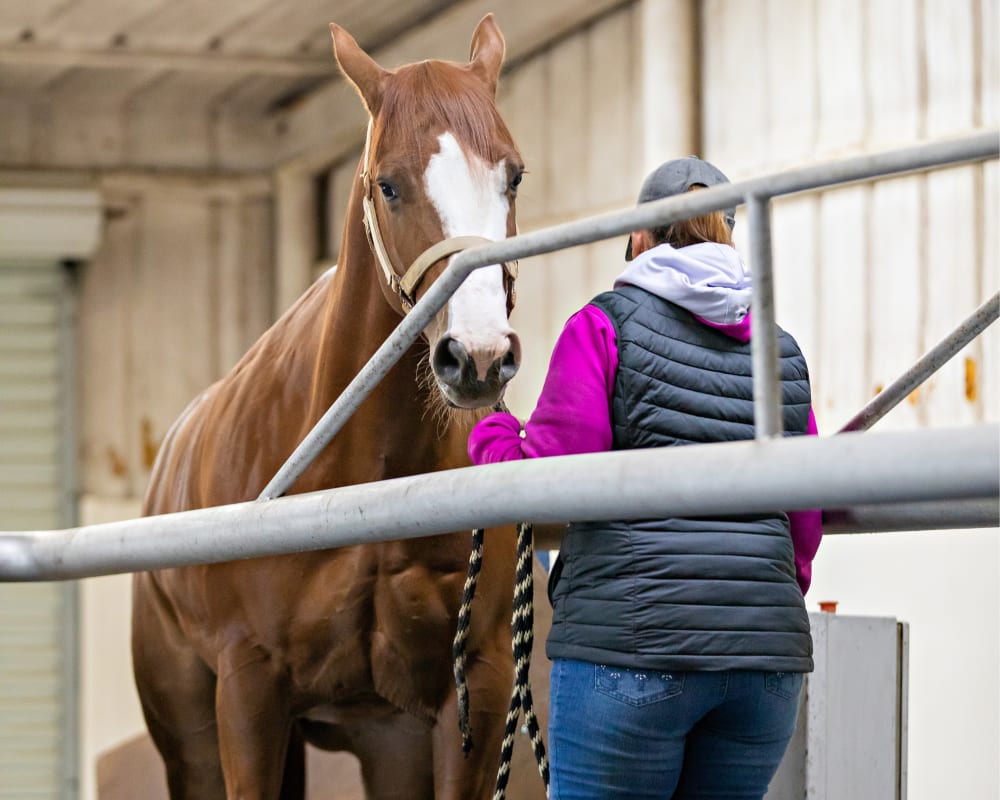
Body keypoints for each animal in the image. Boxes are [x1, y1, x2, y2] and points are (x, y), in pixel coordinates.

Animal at [133, 15, 532, 796]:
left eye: (514, 175)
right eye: (389, 185)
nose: (476, 357)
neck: (359, 478)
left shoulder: (467, 692)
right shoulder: (249, 692)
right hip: (192, 738)